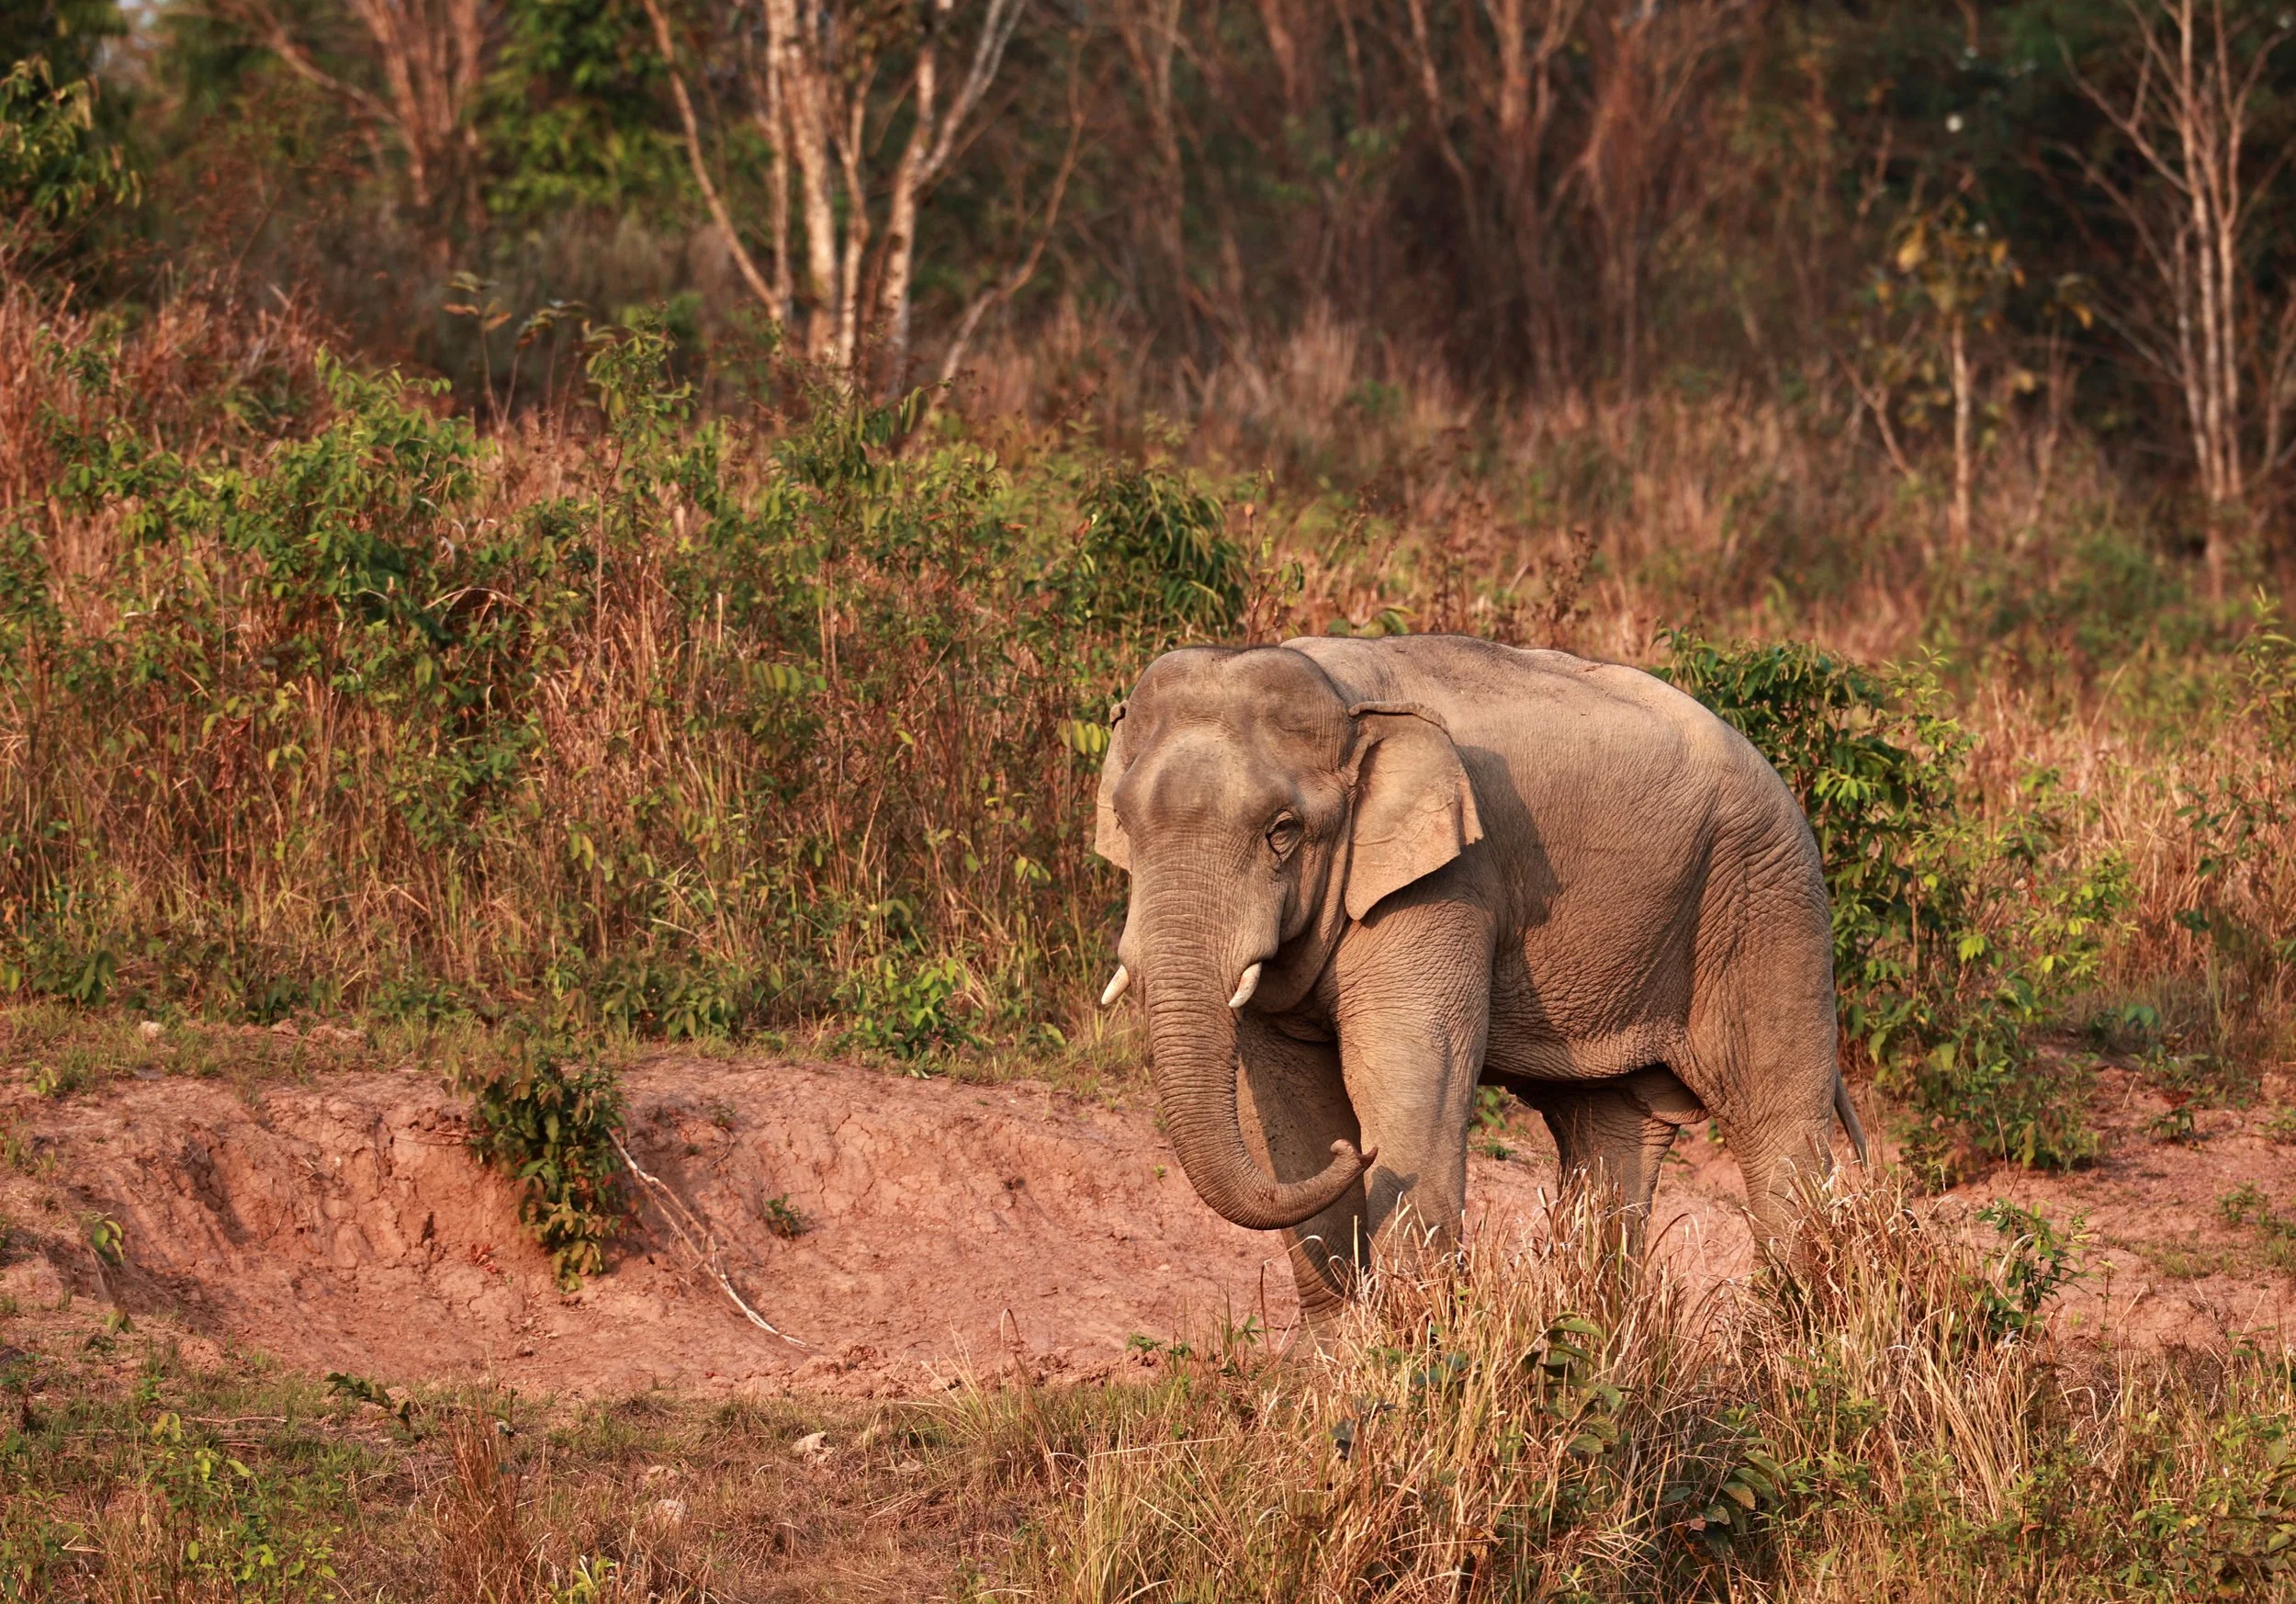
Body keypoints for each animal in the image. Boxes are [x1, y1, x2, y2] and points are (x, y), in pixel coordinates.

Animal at [1092, 633, 1866, 1323]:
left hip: (1769, 908)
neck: (1346, 700)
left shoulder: (1449, 882)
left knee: (1775, 1128)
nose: (1357, 1151)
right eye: (1125, 822)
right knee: (1609, 1133)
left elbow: (1406, 1072)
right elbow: (1284, 1099)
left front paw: (1412, 1352)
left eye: (1282, 831)